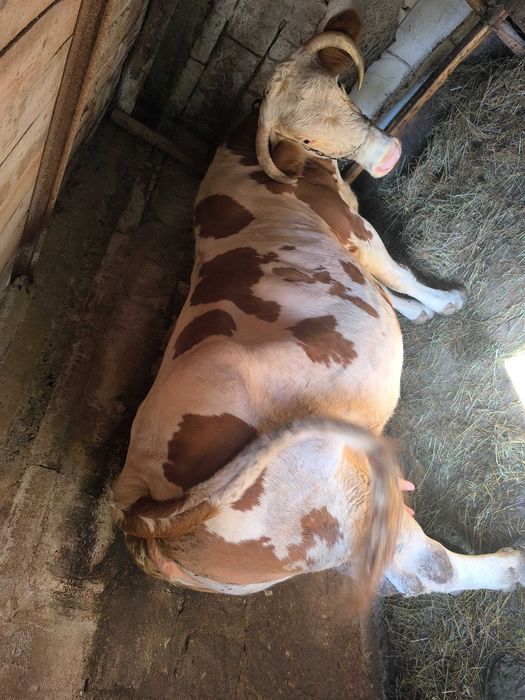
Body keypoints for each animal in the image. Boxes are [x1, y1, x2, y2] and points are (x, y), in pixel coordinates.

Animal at [110, 9, 524, 604]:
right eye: (302, 134)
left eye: (342, 92)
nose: (387, 156)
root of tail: (134, 506)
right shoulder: (350, 224)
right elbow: (394, 268)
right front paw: (446, 301)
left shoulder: (344, 230)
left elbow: (383, 287)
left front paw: (418, 312)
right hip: (333, 497)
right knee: (429, 569)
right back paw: (514, 565)